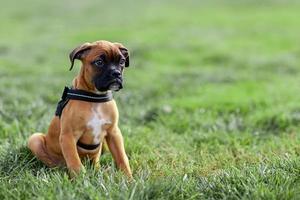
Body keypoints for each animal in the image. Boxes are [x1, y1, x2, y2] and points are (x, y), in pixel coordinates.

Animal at [27, 40, 132, 178]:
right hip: (35, 139)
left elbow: (122, 157)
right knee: (55, 163)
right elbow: (74, 162)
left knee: (95, 161)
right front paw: (80, 180)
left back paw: (100, 171)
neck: (95, 98)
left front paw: (129, 179)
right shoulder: (68, 136)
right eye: (99, 62)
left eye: (122, 62)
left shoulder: (114, 133)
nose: (116, 73)